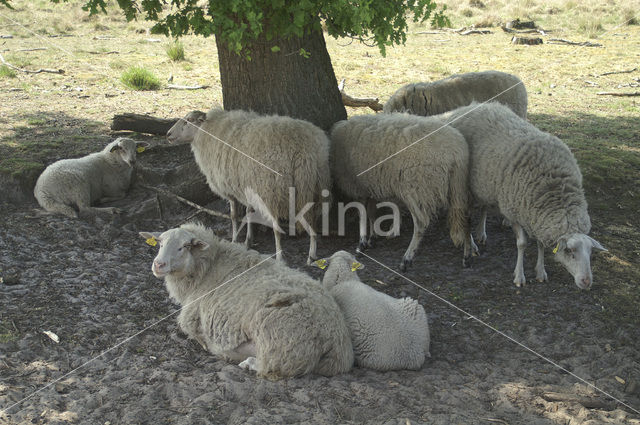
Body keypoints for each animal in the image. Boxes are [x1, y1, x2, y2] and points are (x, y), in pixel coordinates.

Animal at [138, 220, 356, 380]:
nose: (158, 264)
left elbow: (197, 335)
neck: (208, 266)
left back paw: (248, 363)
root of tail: (336, 341)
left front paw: (212, 346)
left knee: (273, 366)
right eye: (160, 243)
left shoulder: (191, 319)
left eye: (184, 247)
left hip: (280, 342)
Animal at [166, 107, 330, 264]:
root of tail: (302, 149)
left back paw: (280, 256)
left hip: (270, 190)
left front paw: (234, 240)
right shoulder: (247, 187)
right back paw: (312, 254)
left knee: (277, 227)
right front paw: (247, 242)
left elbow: (234, 216)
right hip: (315, 186)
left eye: (189, 120)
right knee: (314, 220)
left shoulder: (231, 189)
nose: (168, 134)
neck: (206, 132)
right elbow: (249, 213)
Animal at [330, 112, 476, 270]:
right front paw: (372, 237)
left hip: (416, 187)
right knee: (465, 217)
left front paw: (361, 244)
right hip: (457, 185)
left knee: (421, 223)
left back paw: (406, 259)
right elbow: (371, 213)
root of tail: (456, 151)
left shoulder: (358, 186)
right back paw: (468, 255)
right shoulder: (369, 186)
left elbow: (363, 214)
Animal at [438, 102, 608, 288]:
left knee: (483, 207)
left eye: (590, 252)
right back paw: (472, 245)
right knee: (465, 216)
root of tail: (466, 108)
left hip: (485, 185)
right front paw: (519, 276)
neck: (556, 193)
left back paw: (481, 233)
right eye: (570, 251)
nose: (587, 282)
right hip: (464, 186)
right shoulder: (514, 211)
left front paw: (540, 271)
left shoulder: (537, 217)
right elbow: (522, 244)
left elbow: (540, 244)